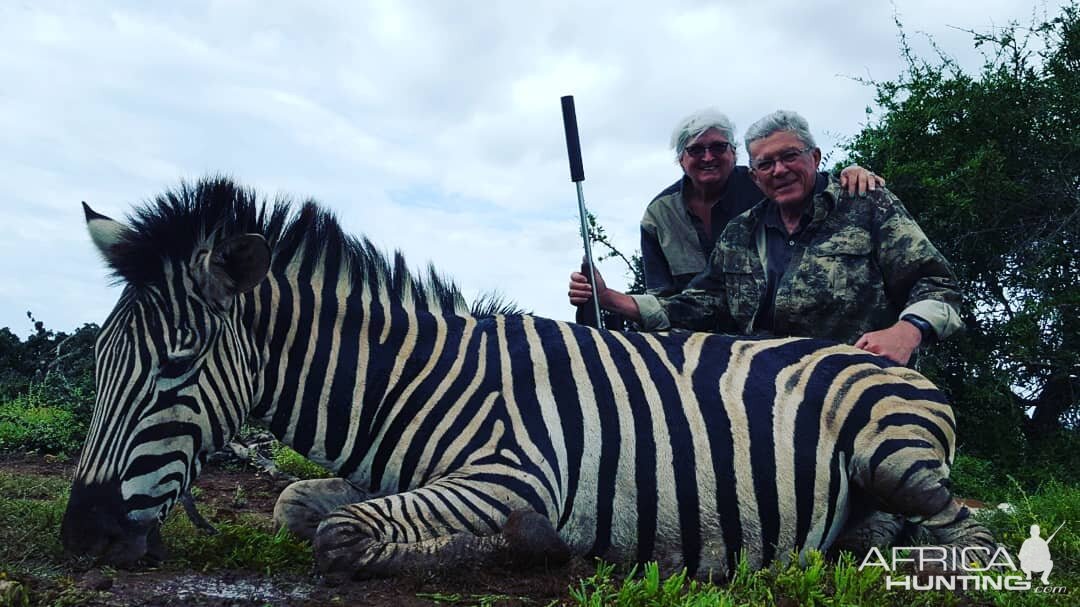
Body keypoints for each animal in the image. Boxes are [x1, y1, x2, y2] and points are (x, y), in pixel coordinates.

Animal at [63, 176, 993, 574]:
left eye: (176, 366)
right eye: (100, 362)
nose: (83, 534)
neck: (408, 383)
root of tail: (886, 358)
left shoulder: (512, 473)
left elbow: (343, 537)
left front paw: (537, 543)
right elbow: (298, 503)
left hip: (895, 456)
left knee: (970, 533)